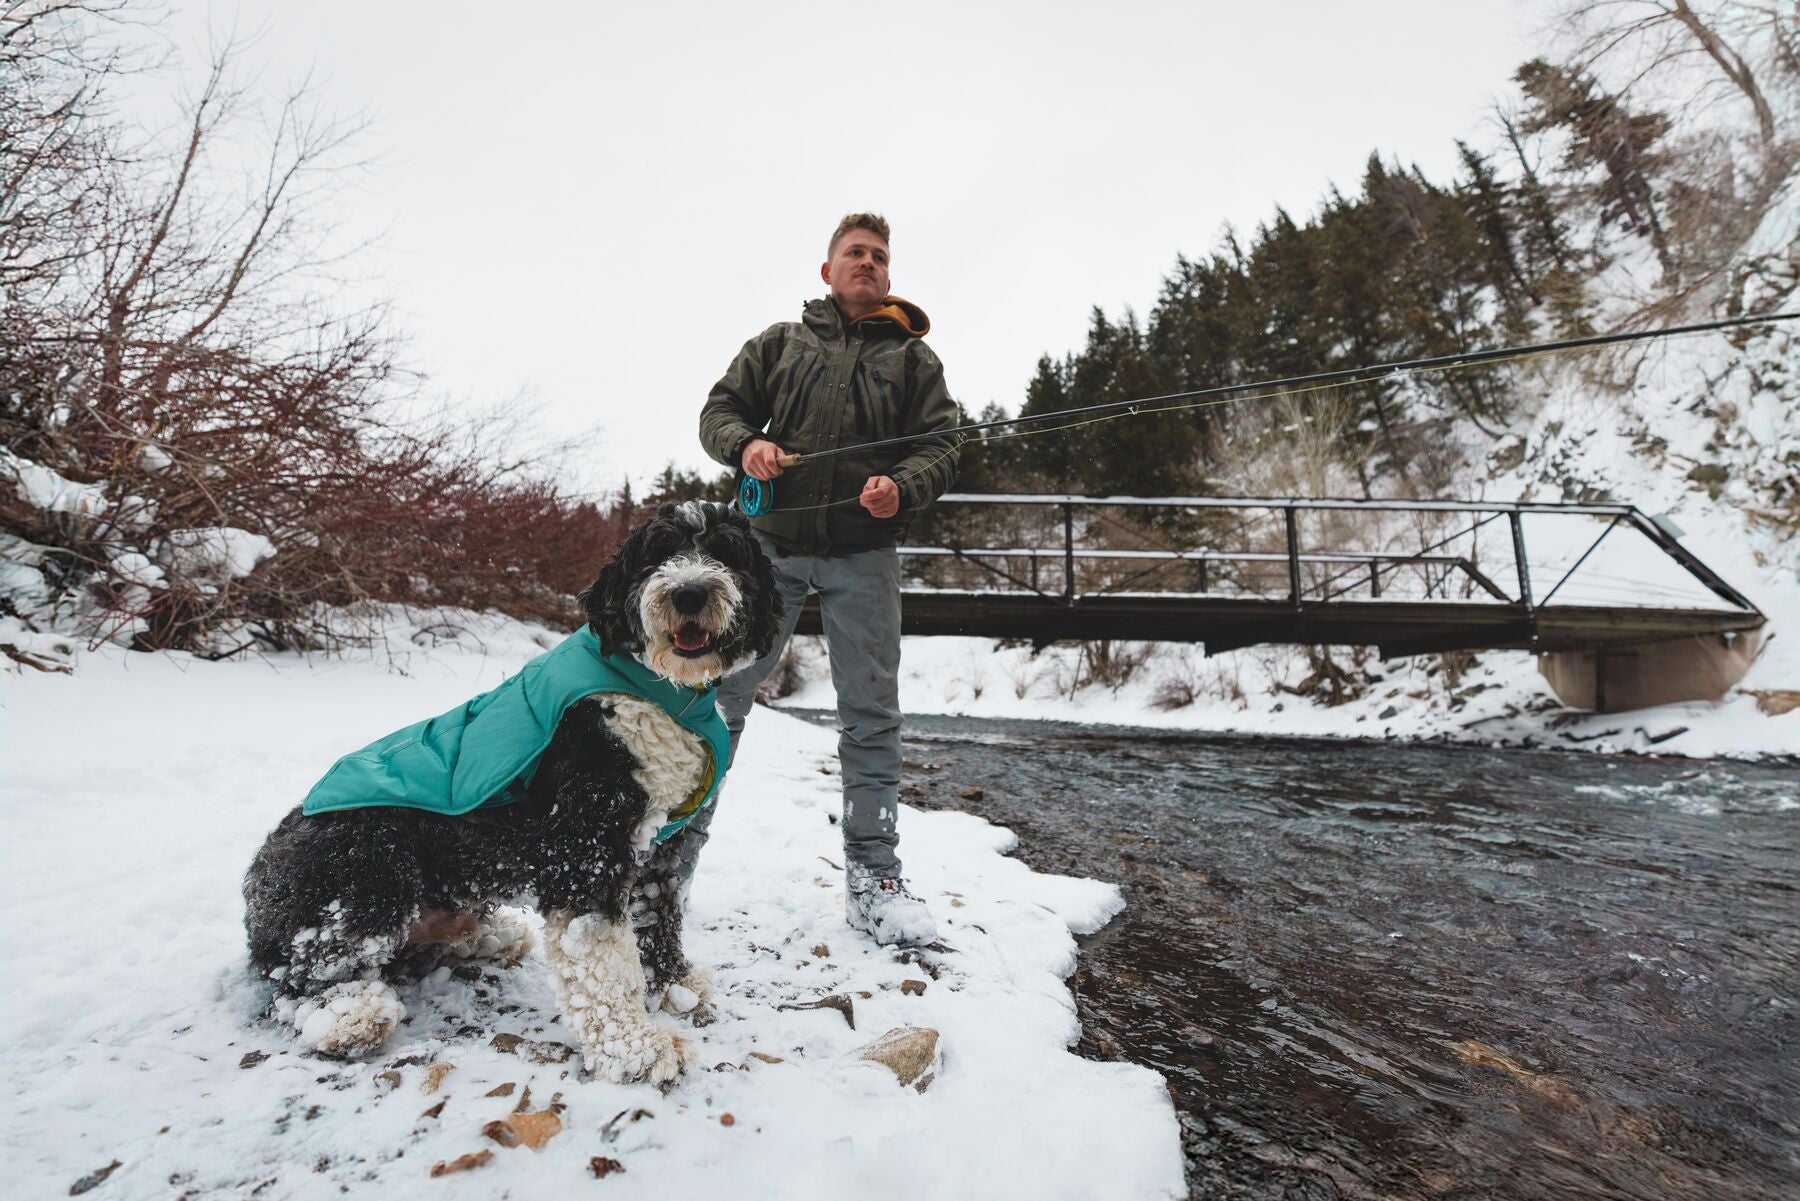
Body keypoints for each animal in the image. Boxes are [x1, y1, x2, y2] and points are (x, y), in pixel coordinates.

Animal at [241, 504, 781, 1087]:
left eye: (728, 554)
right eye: (656, 555)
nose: (689, 593)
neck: (655, 689)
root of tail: (260, 884)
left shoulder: (658, 844)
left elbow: (657, 914)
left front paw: (675, 985)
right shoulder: (586, 846)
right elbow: (603, 957)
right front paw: (635, 1048)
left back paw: (488, 936)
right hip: (364, 858)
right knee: (302, 969)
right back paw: (348, 1015)